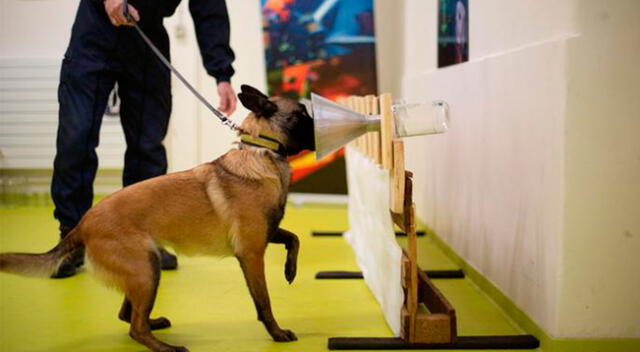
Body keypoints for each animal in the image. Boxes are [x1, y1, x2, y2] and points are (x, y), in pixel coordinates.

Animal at [0, 85, 316, 352]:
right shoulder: (251, 253)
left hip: (144, 271)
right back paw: (167, 347)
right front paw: (276, 333)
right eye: (301, 115)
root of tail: (82, 223)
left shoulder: (268, 233)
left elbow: (295, 238)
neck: (262, 152)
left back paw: (155, 325)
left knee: (128, 314)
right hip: (146, 271)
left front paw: (290, 270)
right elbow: (264, 302)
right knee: (135, 328)